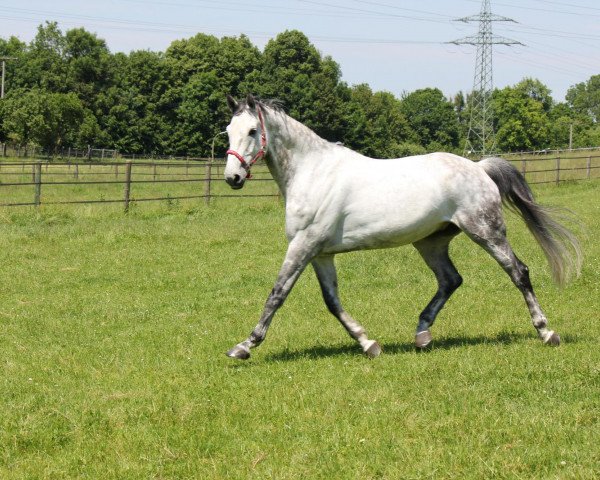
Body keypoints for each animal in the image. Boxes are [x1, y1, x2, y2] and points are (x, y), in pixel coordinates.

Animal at [221, 94, 580, 360]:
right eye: (228, 129)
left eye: (252, 131)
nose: (232, 178)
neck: (314, 173)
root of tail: (479, 167)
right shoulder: (320, 254)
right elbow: (332, 301)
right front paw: (368, 344)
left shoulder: (303, 245)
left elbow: (277, 294)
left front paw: (244, 346)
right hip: (431, 241)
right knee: (450, 280)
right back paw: (422, 335)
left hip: (486, 232)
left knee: (518, 272)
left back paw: (547, 332)